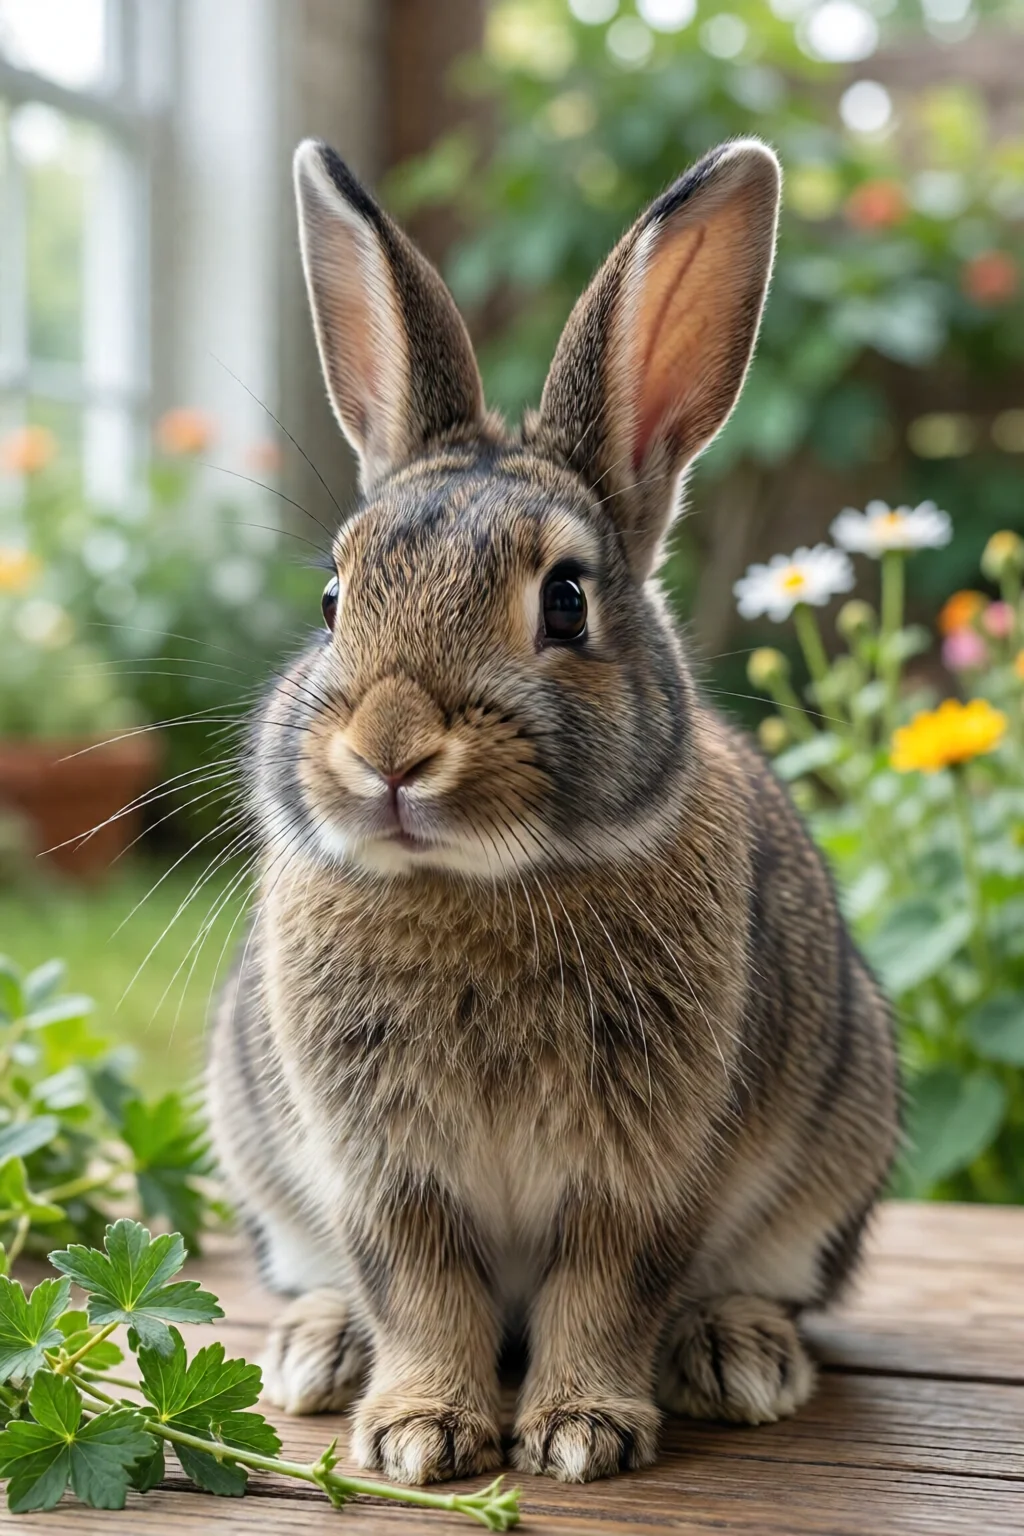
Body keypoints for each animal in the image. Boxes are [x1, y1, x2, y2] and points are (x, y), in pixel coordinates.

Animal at [207, 135, 899, 1487]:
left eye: (566, 601)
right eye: (332, 599)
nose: (390, 752)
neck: (474, 884)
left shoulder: (643, 1175)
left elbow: (606, 1288)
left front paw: (580, 1430)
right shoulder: (384, 1175)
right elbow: (419, 1289)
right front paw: (418, 1431)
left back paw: (736, 1355)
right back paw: (317, 1350)